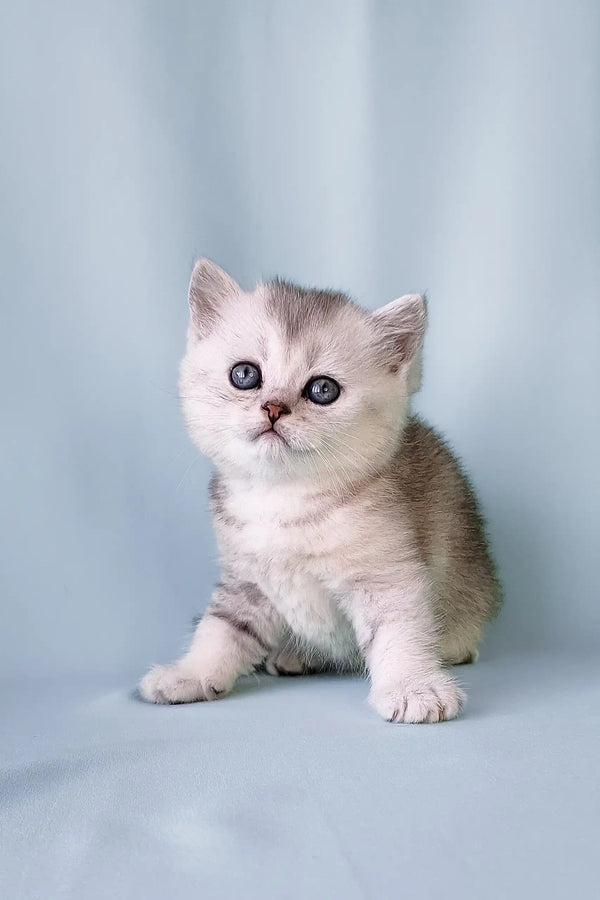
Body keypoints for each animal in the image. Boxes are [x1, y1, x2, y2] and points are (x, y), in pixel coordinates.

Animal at [141, 256, 502, 720]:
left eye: (323, 389)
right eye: (245, 375)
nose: (274, 407)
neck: (283, 499)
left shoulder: (388, 573)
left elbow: (398, 631)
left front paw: (413, 687)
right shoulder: (245, 580)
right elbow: (221, 628)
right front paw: (192, 674)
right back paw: (298, 654)